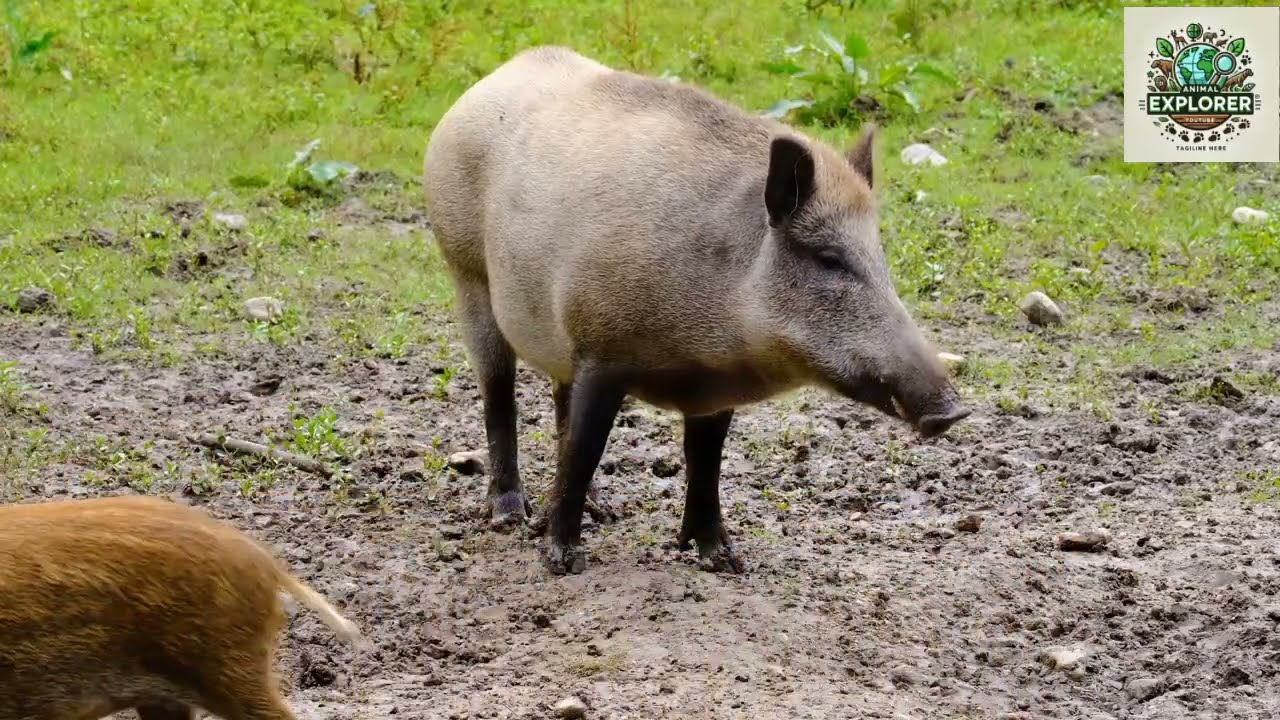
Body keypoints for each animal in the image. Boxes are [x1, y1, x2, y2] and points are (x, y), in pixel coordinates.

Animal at [423, 45, 970, 575]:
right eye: (828, 258)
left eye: (880, 258)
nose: (955, 409)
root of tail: (497, 76)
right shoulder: (602, 350)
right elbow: (585, 449)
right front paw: (562, 563)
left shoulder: (711, 386)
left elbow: (706, 462)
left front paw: (726, 563)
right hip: (466, 273)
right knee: (499, 397)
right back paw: (509, 515)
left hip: (555, 337)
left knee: (559, 400)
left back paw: (603, 510)